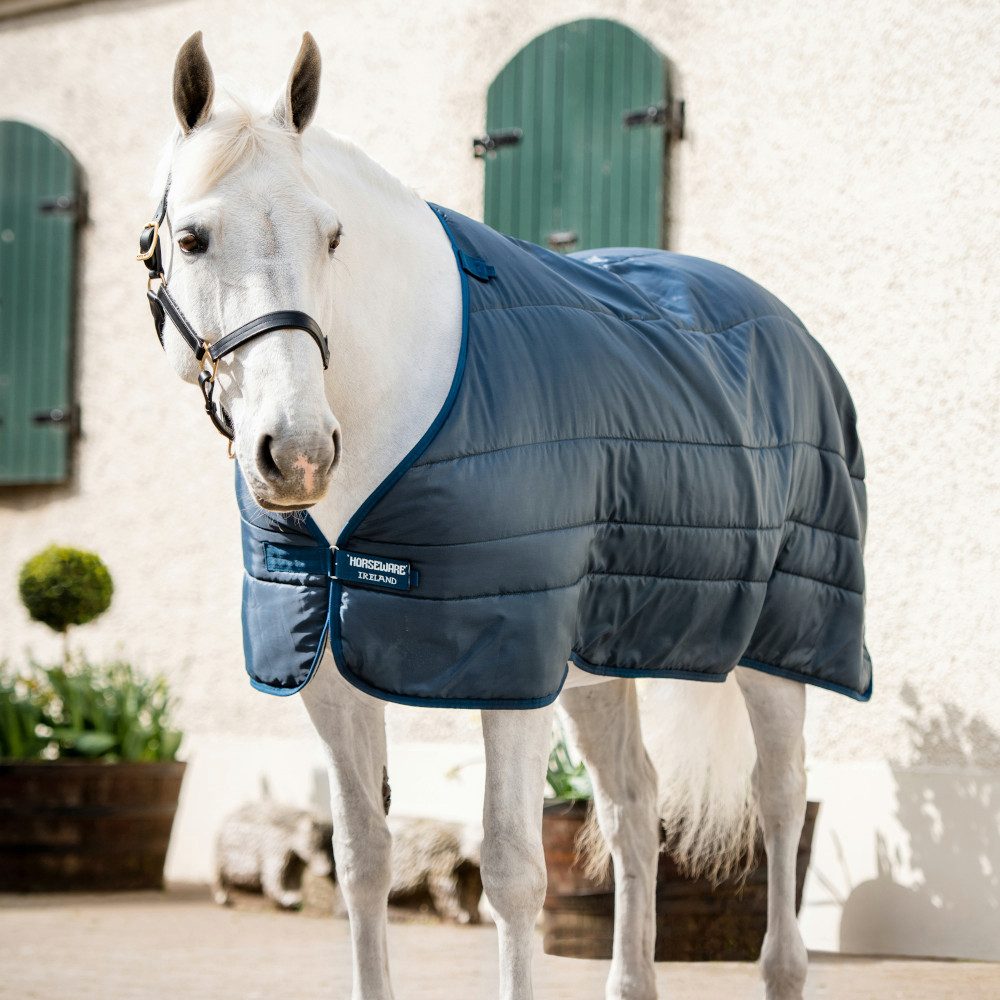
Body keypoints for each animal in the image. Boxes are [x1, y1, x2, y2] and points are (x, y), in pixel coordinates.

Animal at [142, 31, 870, 1000]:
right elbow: (361, 863)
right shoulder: (330, 675)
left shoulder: (510, 669)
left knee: (780, 799)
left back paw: (782, 965)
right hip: (603, 670)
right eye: (192, 238)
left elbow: (515, 874)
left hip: (781, 647)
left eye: (332, 235)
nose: (296, 452)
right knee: (634, 807)